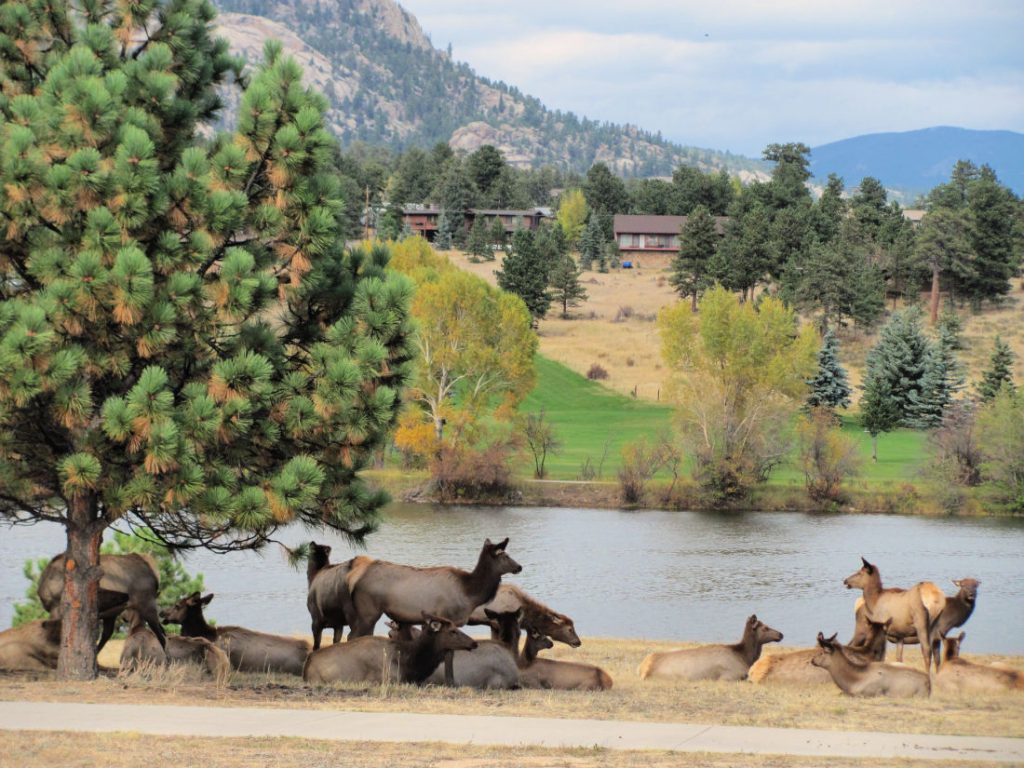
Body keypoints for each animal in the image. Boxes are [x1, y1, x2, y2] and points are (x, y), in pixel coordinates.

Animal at [346, 536, 524, 638]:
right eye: (505, 556)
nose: (519, 567)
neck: (469, 594)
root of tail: (354, 579)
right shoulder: (447, 616)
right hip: (368, 611)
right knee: (353, 636)